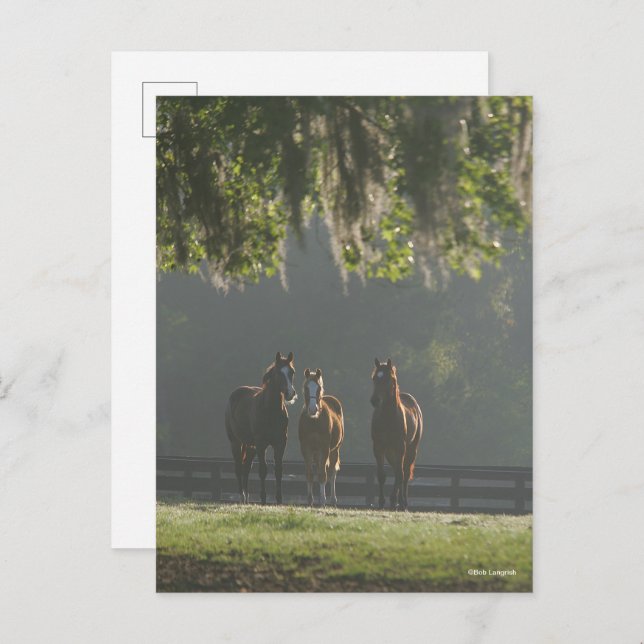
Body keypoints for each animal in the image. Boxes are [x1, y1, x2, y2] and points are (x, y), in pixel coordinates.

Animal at [224, 352, 297, 504]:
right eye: (279, 373)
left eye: (292, 372)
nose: (290, 393)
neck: (270, 410)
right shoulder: (261, 443)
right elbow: (263, 470)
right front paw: (263, 498)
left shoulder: (280, 443)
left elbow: (278, 470)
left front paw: (279, 499)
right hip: (236, 442)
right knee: (238, 468)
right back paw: (241, 496)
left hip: (250, 446)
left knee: (246, 468)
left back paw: (246, 498)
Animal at [298, 368, 344, 507]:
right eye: (306, 388)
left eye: (319, 388)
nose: (313, 409)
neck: (314, 421)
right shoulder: (306, 448)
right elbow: (309, 474)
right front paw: (310, 500)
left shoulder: (324, 448)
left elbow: (323, 475)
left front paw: (323, 500)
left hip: (334, 450)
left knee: (332, 473)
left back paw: (333, 500)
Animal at [370, 358, 423, 510]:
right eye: (374, 378)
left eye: (389, 379)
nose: (375, 400)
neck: (388, 418)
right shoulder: (379, 447)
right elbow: (381, 475)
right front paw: (382, 502)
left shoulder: (400, 448)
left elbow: (400, 475)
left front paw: (393, 500)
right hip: (390, 453)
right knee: (398, 471)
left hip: (410, 450)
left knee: (404, 474)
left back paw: (402, 502)